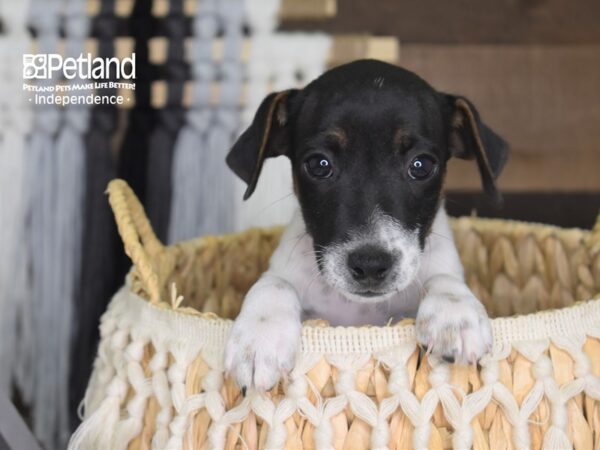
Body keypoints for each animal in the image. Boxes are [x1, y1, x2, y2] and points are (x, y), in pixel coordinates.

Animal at [224, 60, 506, 394]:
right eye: (319, 164)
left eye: (421, 165)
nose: (370, 264)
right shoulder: (285, 275)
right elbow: (275, 283)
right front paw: (260, 338)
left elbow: (443, 278)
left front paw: (455, 314)